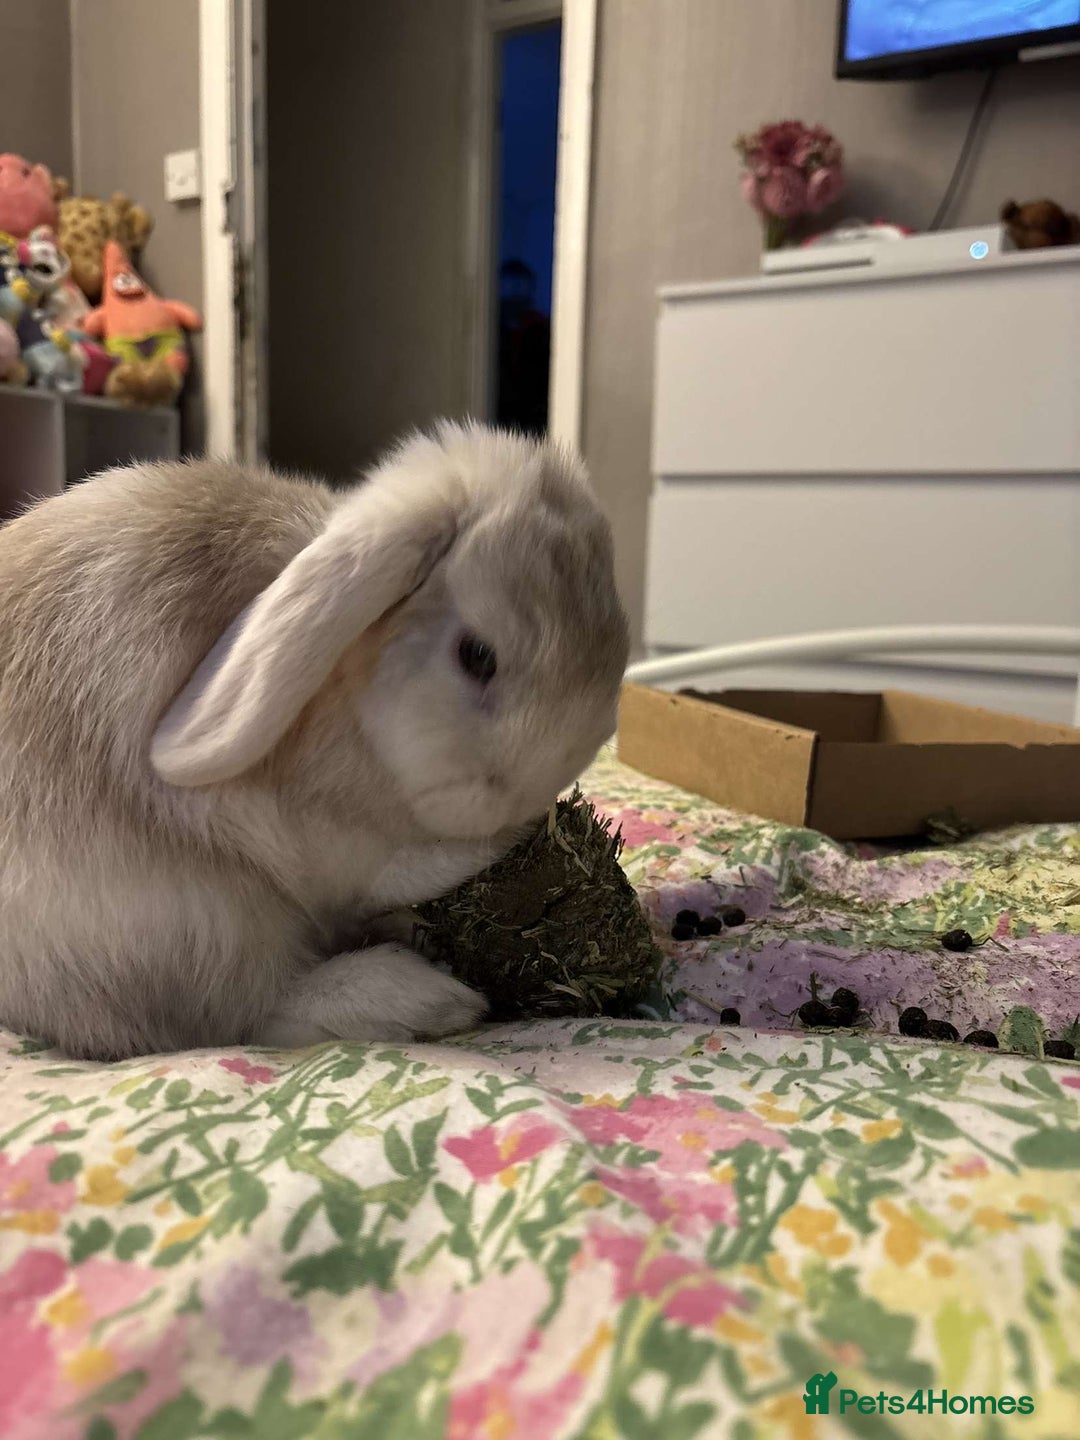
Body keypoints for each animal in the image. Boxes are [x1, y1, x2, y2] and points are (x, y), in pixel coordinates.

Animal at [0, 422, 630, 1060]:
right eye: (477, 655)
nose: (518, 798)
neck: (346, 691)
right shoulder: (303, 831)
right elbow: (382, 870)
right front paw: (502, 840)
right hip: (196, 926)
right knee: (235, 1015)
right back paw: (425, 997)